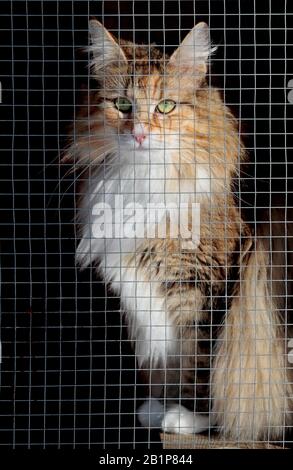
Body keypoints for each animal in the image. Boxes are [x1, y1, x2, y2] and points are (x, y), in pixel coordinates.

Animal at [64, 19, 292, 440]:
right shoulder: (147, 294)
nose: (139, 134)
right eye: (123, 105)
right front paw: (159, 407)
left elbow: (201, 361)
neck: (144, 182)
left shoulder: (204, 285)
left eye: (165, 105)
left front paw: (191, 417)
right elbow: (165, 363)